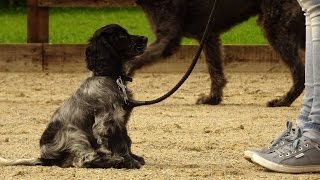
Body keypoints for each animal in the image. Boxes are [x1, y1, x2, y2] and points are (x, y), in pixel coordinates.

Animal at [0, 23, 148, 169]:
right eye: (122, 36)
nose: (146, 38)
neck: (111, 78)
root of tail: (46, 159)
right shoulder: (107, 121)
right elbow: (120, 143)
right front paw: (129, 161)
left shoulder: (121, 119)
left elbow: (127, 139)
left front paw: (134, 157)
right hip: (75, 135)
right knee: (83, 160)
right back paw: (115, 161)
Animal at [125, 0, 304, 107]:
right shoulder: (208, 36)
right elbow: (215, 71)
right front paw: (212, 99)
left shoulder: (167, 39)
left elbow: (134, 61)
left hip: (276, 28)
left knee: (299, 71)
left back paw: (283, 101)